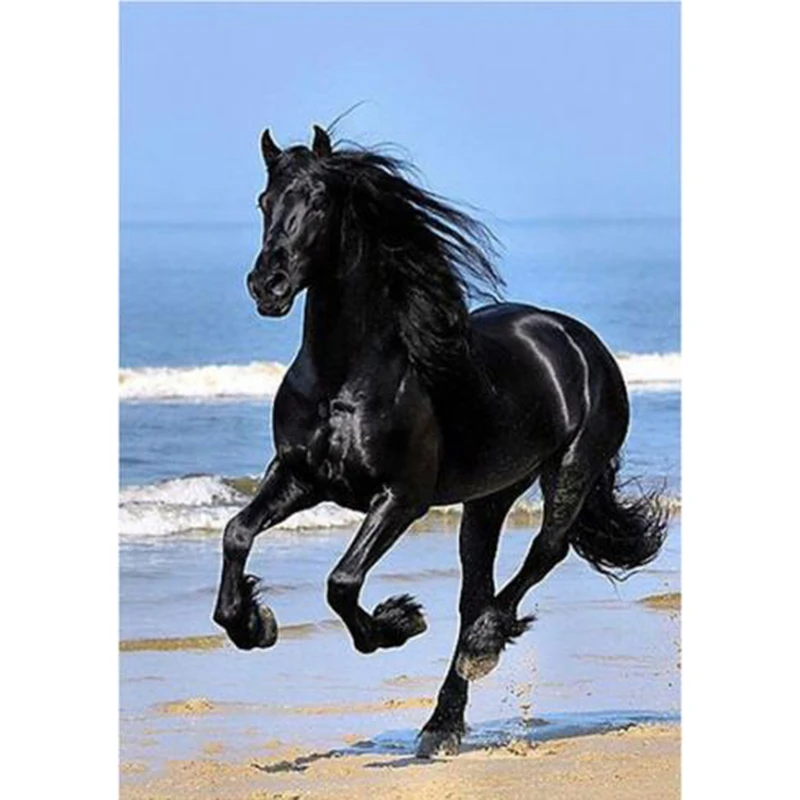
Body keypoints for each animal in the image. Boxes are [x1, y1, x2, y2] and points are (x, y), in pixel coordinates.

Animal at [212, 124, 668, 757]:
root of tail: (576, 339)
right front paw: (253, 624)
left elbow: (341, 582)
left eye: (320, 203)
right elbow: (237, 532)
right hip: (489, 496)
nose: (267, 285)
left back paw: (482, 647)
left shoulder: (401, 498)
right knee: (476, 588)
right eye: (264, 202)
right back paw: (442, 723)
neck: (343, 377)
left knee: (543, 553)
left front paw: (398, 622)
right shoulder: (300, 476)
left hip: (571, 468)